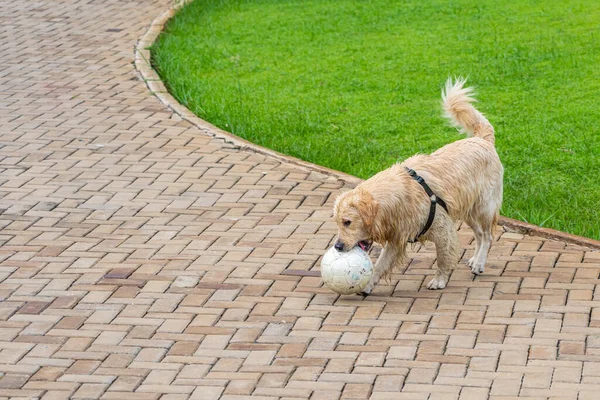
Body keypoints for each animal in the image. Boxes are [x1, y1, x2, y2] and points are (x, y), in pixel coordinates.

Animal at [332, 78, 502, 290]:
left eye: (347, 222)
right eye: (338, 222)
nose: (338, 246)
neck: (397, 200)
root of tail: (482, 140)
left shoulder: (442, 229)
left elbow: (443, 258)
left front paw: (439, 280)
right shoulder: (397, 238)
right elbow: (380, 265)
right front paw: (368, 286)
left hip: (483, 207)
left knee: (487, 235)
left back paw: (479, 263)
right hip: (467, 209)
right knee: (479, 234)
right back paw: (475, 259)